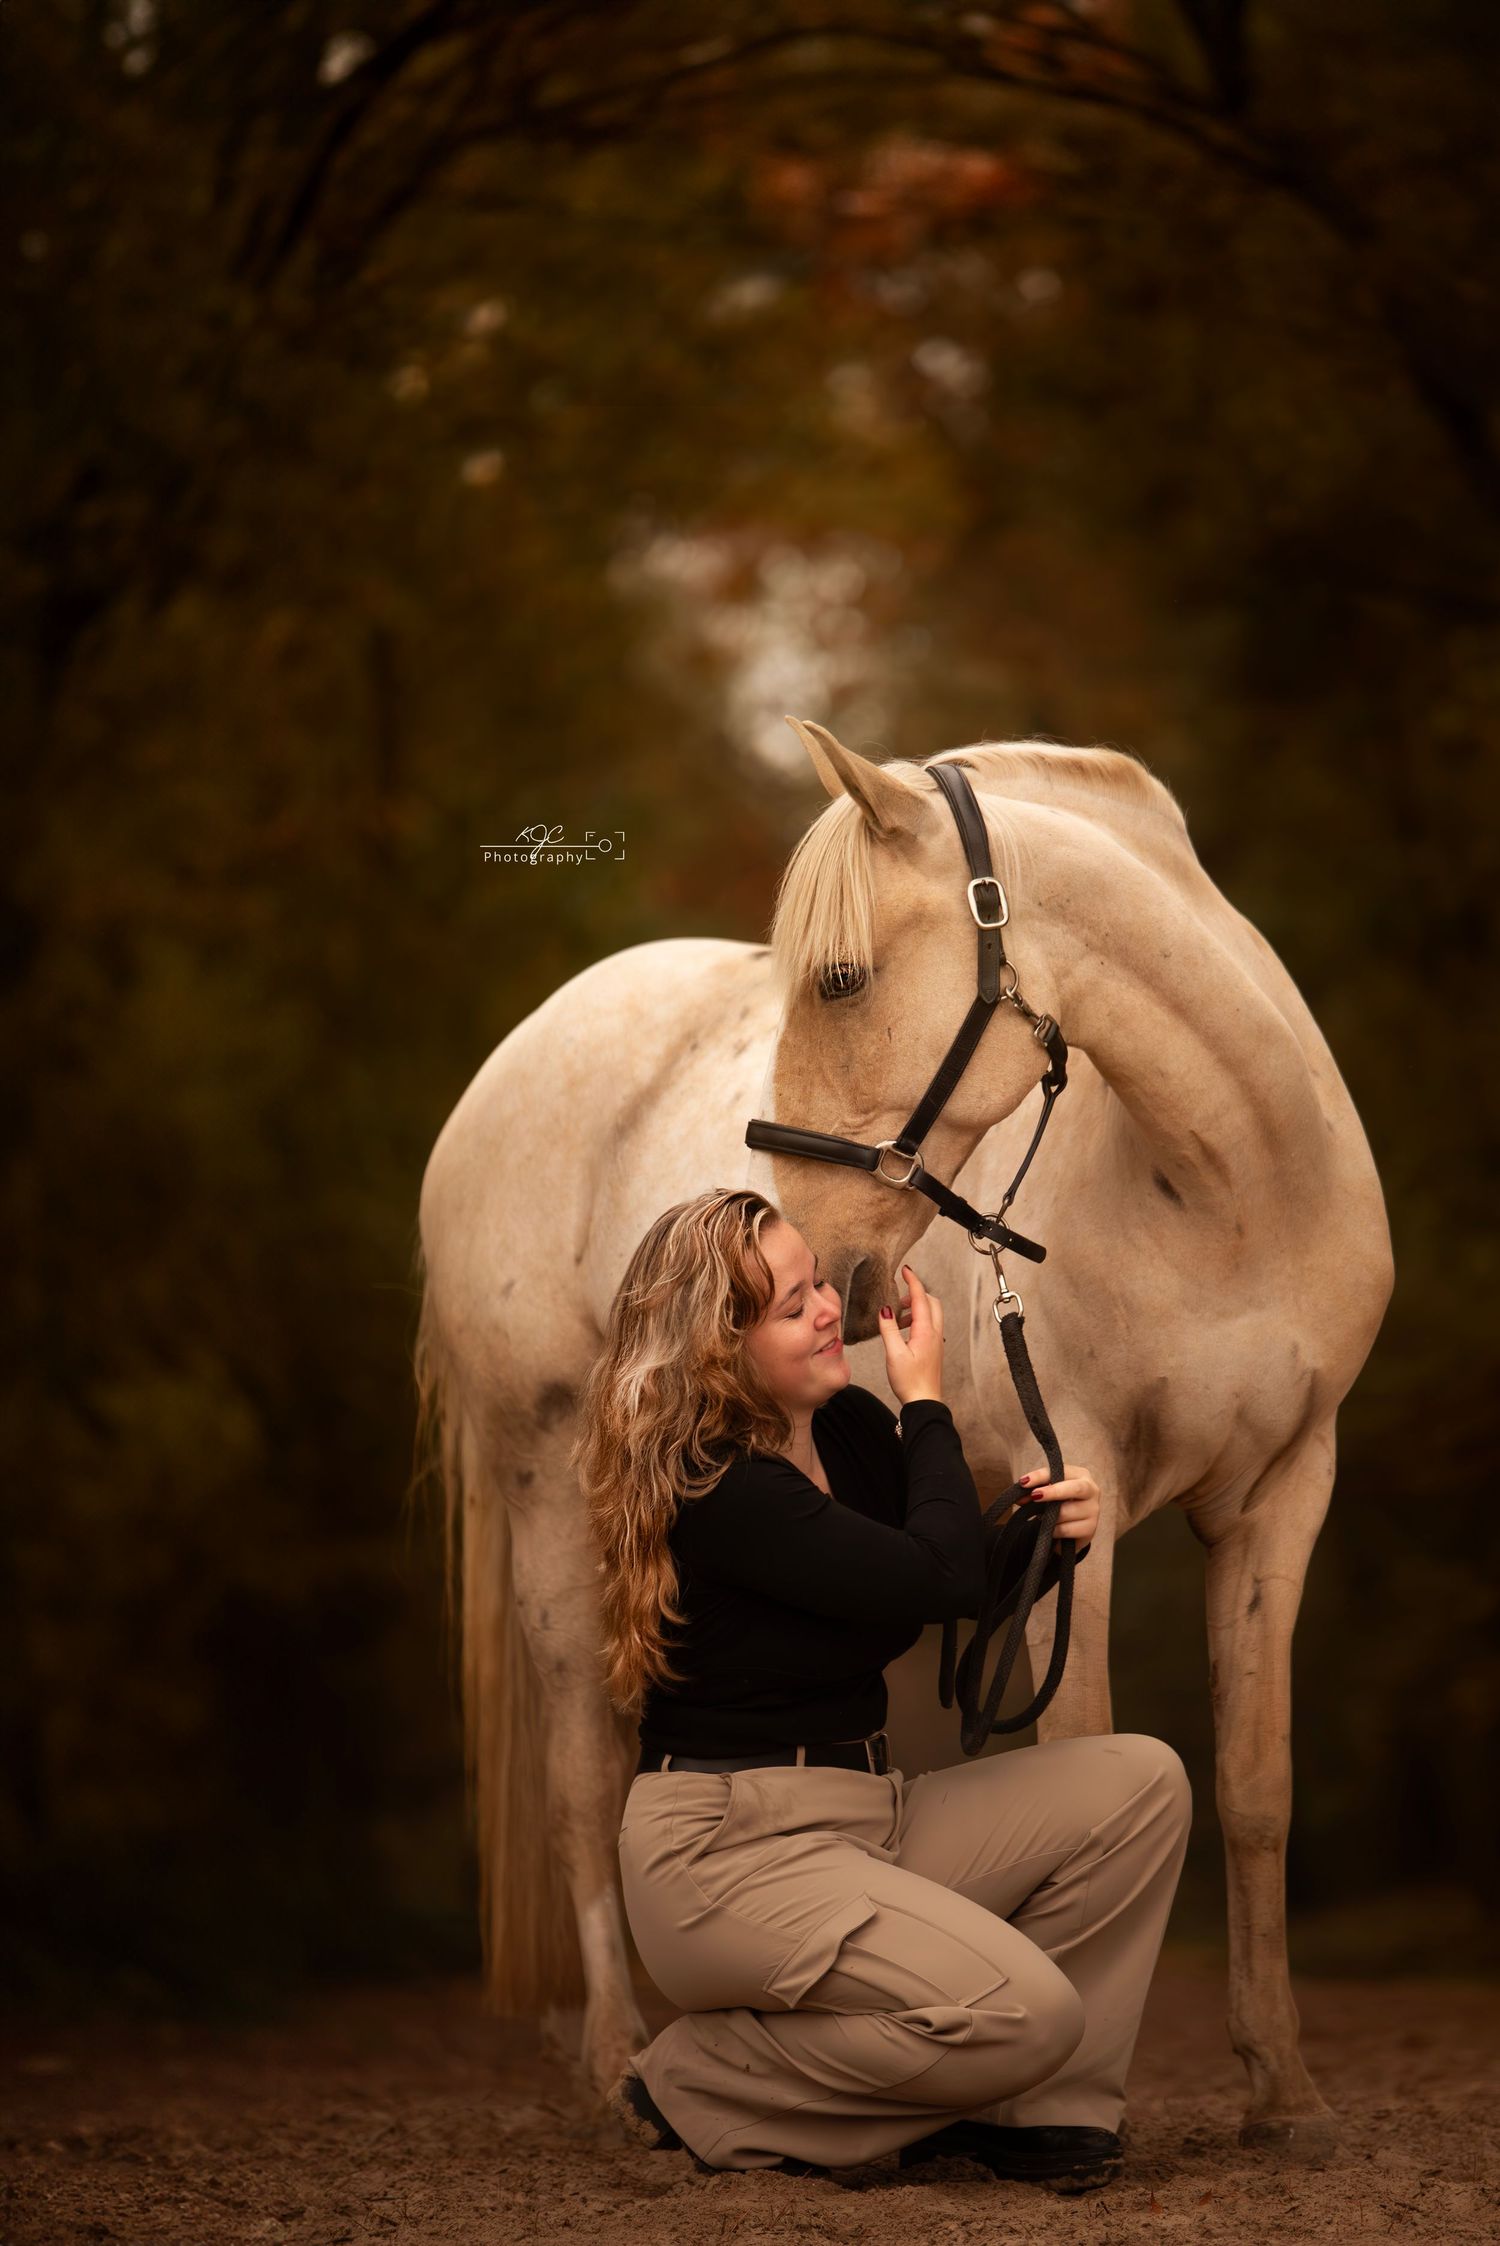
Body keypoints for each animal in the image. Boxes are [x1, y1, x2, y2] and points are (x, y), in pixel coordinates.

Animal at [412, 721, 1393, 2154]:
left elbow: (1257, 1791)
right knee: (586, 1774)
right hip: (546, 1488)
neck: (1224, 1194)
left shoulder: (1282, 1490)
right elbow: (1092, 1739)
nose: (811, 1253)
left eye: (839, 977)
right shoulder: (1077, 1493)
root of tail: (514, 1059)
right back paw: (617, 2063)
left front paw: (1287, 2093)